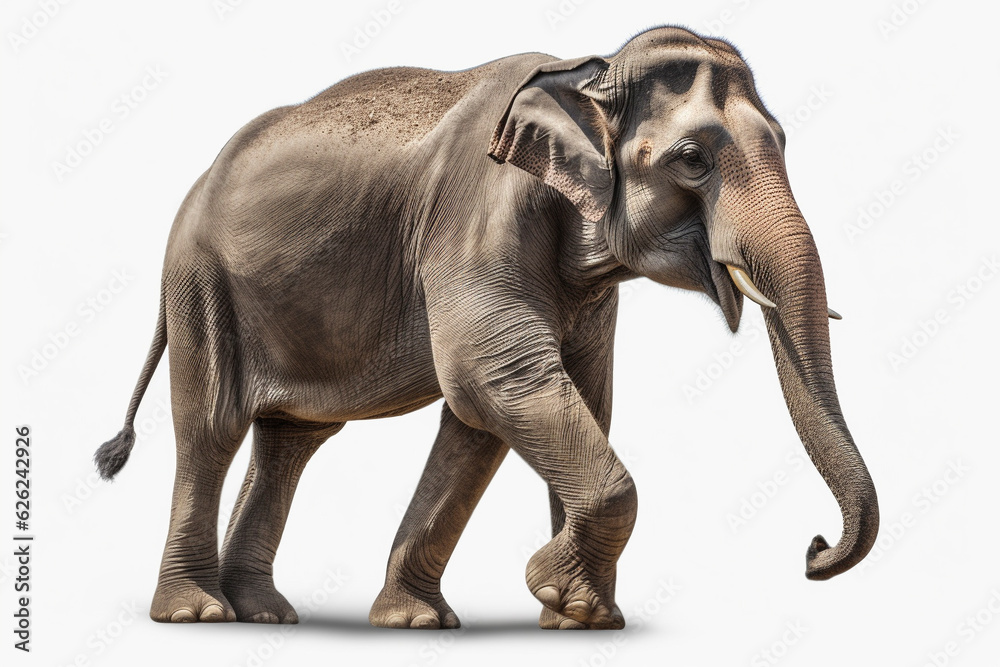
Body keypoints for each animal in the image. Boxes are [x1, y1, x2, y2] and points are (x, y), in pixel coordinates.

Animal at [95, 25, 879, 630]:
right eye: (692, 160)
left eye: (783, 141)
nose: (813, 548)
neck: (588, 73)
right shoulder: (478, 214)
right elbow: (490, 379)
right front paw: (554, 591)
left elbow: (526, 408)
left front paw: (565, 617)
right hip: (201, 282)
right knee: (211, 427)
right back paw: (198, 613)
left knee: (292, 440)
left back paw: (263, 611)